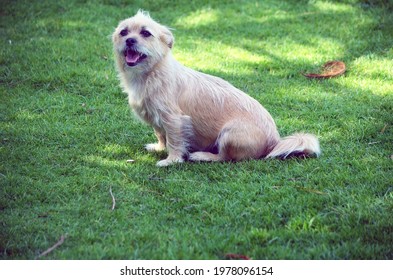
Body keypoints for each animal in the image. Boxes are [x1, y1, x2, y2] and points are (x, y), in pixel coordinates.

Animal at [112, 10, 320, 166]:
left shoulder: (174, 120)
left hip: (229, 134)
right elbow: (161, 134)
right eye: (124, 32)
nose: (130, 40)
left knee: (225, 158)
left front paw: (171, 160)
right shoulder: (157, 119)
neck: (151, 73)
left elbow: (175, 141)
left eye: (146, 33)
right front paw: (159, 148)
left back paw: (203, 156)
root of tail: (274, 142)